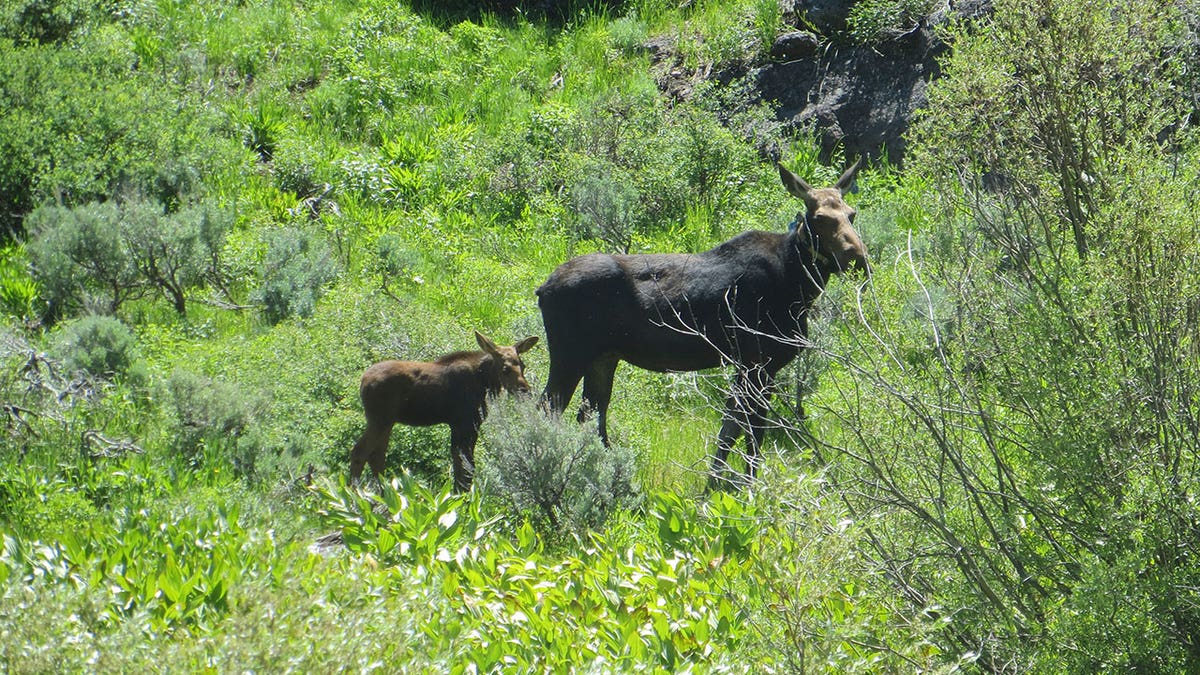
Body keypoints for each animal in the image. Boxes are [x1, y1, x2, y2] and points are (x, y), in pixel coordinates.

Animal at [350, 329, 540, 487]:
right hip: (379, 419)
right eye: (505, 369)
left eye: (523, 365)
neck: (485, 383)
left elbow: (462, 465)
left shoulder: (464, 424)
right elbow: (465, 466)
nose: (525, 391)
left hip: (387, 422)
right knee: (360, 452)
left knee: (376, 455)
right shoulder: (464, 422)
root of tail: (362, 381)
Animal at [540, 159, 868, 485]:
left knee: (591, 415)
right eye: (820, 218)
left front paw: (714, 484)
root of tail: (542, 289)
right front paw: (747, 486)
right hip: (570, 354)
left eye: (852, 214)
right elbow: (751, 434)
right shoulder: (759, 364)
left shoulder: (748, 366)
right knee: (547, 410)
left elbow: (730, 430)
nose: (858, 259)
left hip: (603, 358)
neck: (799, 284)